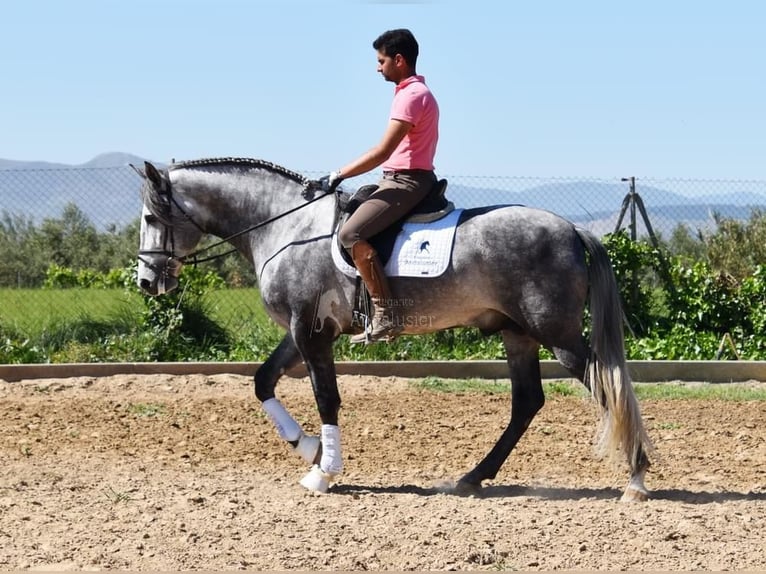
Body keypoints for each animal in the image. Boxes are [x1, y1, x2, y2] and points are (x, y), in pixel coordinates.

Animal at [136, 156, 656, 500]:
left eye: (149, 217)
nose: (145, 281)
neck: (287, 229)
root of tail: (572, 229)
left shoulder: (312, 333)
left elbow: (327, 398)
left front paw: (324, 471)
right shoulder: (300, 331)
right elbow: (263, 381)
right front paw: (308, 449)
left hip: (557, 337)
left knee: (607, 385)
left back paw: (636, 478)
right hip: (518, 334)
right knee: (528, 401)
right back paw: (472, 478)